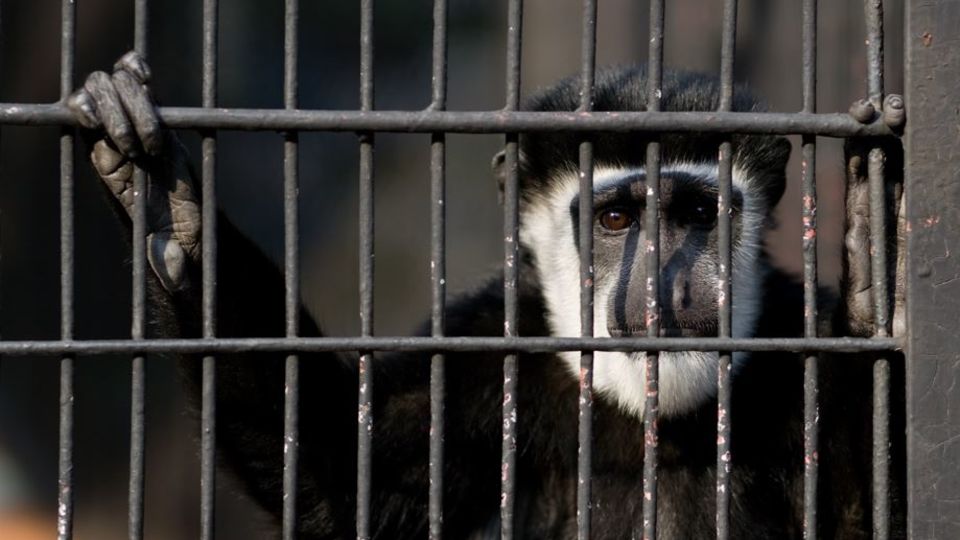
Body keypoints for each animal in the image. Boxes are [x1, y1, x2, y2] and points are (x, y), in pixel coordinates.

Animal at [69, 52, 900, 536]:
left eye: (698, 214)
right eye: (618, 218)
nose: (667, 284)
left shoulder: (791, 337)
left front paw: (873, 267)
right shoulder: (481, 348)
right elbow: (341, 478)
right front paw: (161, 197)